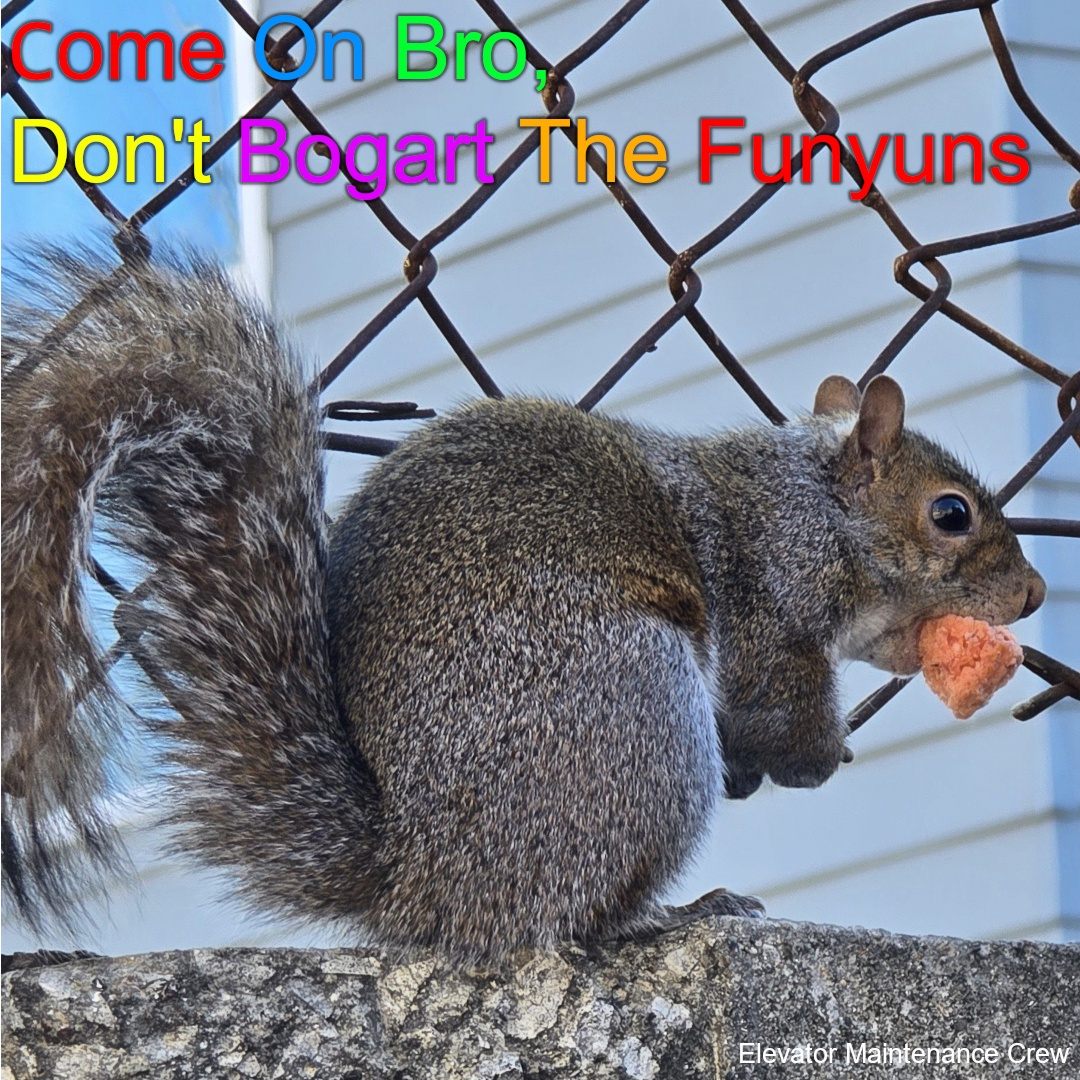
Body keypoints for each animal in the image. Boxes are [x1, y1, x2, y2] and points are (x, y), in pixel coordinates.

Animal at [0, 245, 1045, 963]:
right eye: (951, 514)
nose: (1035, 594)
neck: (809, 505)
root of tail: (425, 877)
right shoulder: (768, 604)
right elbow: (775, 712)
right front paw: (824, 757)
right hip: (633, 709)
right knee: (569, 919)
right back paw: (674, 913)